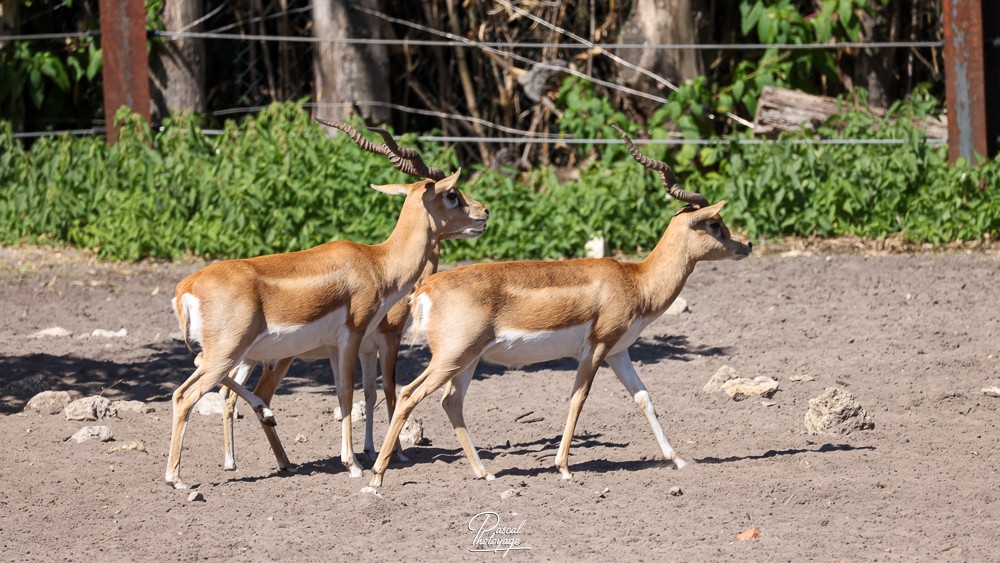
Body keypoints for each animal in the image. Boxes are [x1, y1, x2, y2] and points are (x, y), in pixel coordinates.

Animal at [166, 122, 489, 489]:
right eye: (452, 194)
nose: (484, 212)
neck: (378, 263)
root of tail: (186, 286)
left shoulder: (339, 347)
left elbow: (347, 394)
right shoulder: (360, 336)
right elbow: (354, 393)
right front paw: (356, 464)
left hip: (239, 355)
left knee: (203, 386)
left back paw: (271, 446)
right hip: (231, 353)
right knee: (186, 395)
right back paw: (177, 478)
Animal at [368, 124, 751, 487]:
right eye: (715, 223)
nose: (746, 244)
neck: (636, 280)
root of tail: (426, 288)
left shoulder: (618, 352)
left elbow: (643, 397)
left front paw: (678, 459)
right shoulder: (595, 350)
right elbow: (578, 398)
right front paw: (564, 467)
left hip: (467, 360)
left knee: (450, 401)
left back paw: (484, 473)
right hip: (451, 357)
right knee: (408, 394)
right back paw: (376, 478)